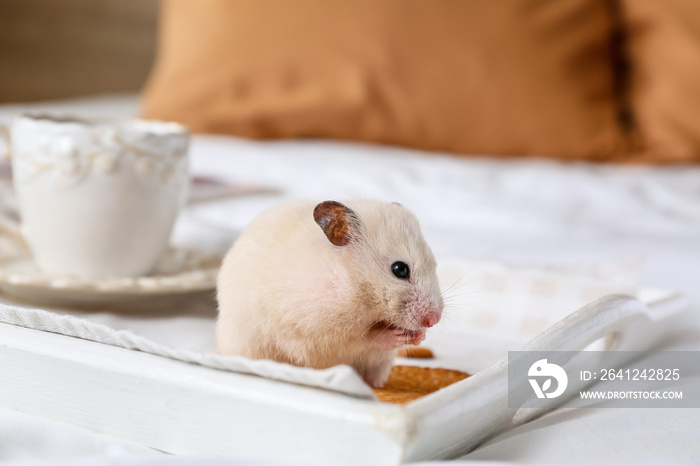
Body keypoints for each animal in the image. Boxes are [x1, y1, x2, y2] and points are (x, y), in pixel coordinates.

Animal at [215, 200, 442, 386]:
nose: (434, 320)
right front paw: (394, 335)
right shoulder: (320, 331)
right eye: (400, 269)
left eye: (434, 264)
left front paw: (419, 336)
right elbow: (363, 338)